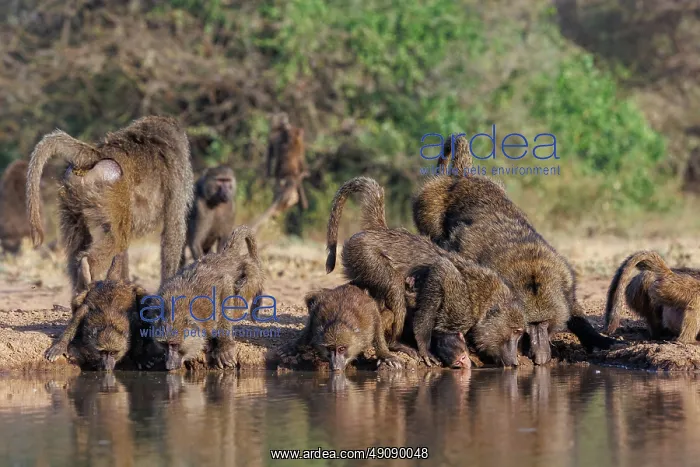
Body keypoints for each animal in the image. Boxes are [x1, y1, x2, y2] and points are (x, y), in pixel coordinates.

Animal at [26, 115, 194, 293]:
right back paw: (87, 267)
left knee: (80, 238)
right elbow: (173, 228)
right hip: (113, 190)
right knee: (118, 238)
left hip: (72, 195)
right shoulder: (178, 171)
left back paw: (80, 286)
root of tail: (97, 154)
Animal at [152, 225, 265, 370]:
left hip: (253, 273)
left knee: (240, 291)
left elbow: (225, 288)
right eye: (165, 345)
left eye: (174, 345)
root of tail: (226, 256)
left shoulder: (212, 297)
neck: (178, 308)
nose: (169, 365)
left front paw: (224, 346)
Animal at [411, 167, 616, 365]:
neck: (528, 263)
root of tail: (460, 178)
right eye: (529, 325)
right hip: (428, 203)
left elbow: (574, 310)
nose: (540, 357)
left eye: (544, 323)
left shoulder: (564, 281)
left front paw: (597, 339)